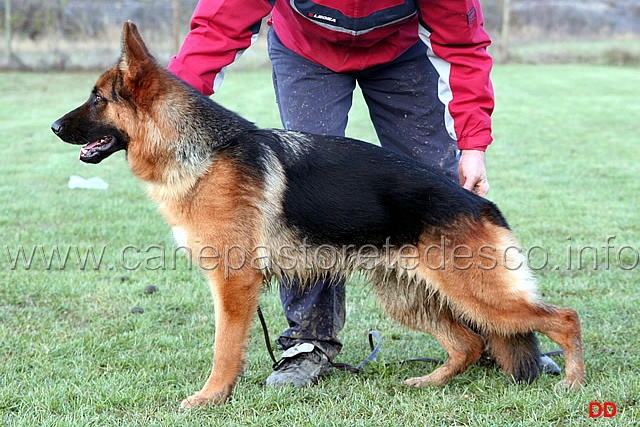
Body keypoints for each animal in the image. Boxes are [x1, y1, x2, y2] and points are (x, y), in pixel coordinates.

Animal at [53, 22, 584, 408]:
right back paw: (429, 383)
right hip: (409, 297)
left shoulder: (234, 284)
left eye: (98, 98)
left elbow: (224, 349)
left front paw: (210, 397)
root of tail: (480, 202)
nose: (55, 126)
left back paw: (573, 382)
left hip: (478, 293)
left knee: (563, 318)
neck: (198, 151)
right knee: (468, 343)